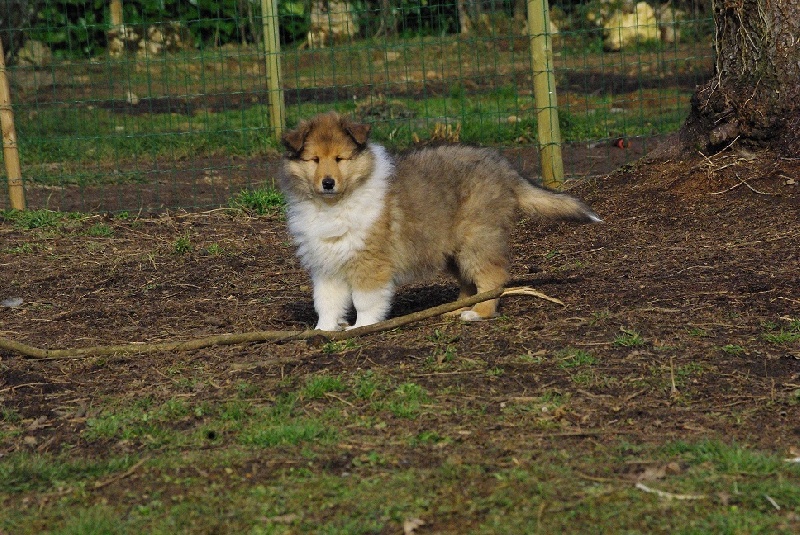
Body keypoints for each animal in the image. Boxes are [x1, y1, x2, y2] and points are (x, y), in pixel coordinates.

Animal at [278, 112, 596, 330]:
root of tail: (504, 168)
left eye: (340, 159)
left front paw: (362, 327)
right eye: (314, 160)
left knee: (492, 278)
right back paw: (455, 308)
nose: (328, 183)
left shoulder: (371, 261)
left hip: (477, 239)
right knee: (469, 282)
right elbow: (327, 302)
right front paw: (323, 331)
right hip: (452, 249)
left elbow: (365, 300)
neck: (334, 204)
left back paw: (477, 313)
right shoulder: (326, 265)